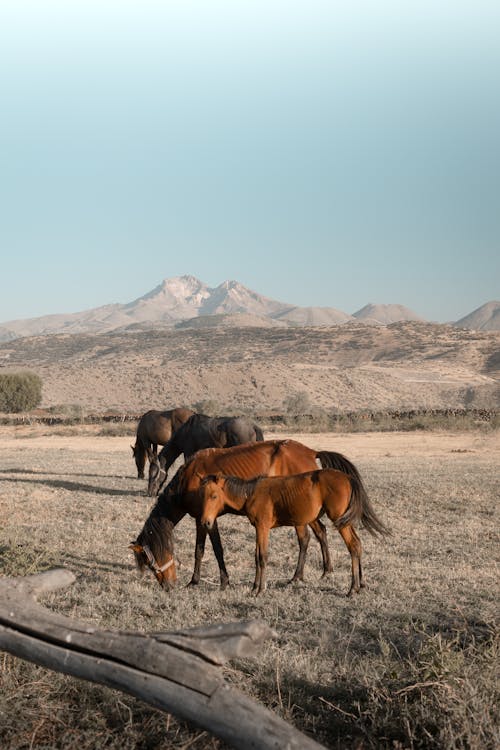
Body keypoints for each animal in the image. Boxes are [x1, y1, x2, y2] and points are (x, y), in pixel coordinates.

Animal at [131, 440, 368, 592]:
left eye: (149, 562)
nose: (167, 586)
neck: (188, 481)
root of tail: (311, 451)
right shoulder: (203, 518)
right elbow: (203, 550)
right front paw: (200, 580)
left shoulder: (206, 519)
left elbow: (210, 549)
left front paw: (216, 581)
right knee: (320, 533)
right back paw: (325, 572)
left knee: (306, 538)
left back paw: (299, 576)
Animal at [201, 470, 388, 600]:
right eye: (203, 495)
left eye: (214, 496)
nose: (206, 523)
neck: (251, 493)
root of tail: (348, 478)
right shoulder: (258, 529)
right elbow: (256, 556)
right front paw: (254, 588)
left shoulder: (263, 527)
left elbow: (262, 557)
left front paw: (260, 590)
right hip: (345, 521)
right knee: (358, 543)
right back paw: (359, 585)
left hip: (340, 521)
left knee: (353, 546)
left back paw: (352, 589)